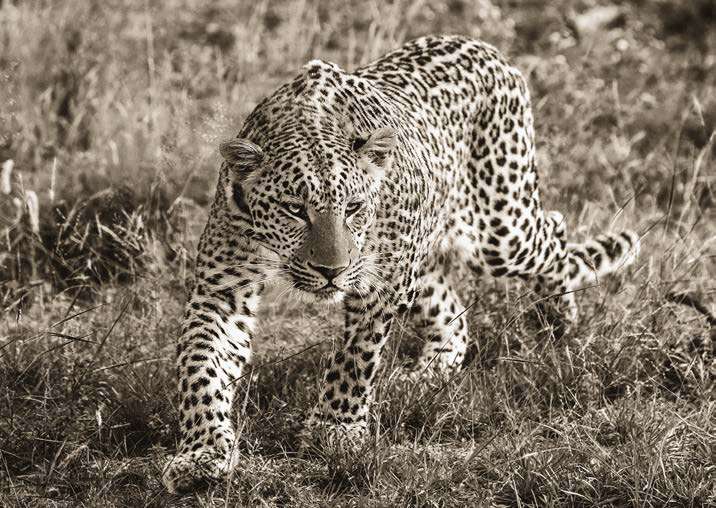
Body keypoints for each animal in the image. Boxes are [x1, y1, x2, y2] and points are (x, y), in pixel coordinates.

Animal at [161, 34, 640, 493]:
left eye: (354, 207)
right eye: (295, 210)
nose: (332, 271)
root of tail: (488, 49)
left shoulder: (383, 284)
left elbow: (355, 359)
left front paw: (334, 428)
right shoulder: (221, 289)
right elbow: (200, 367)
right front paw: (201, 453)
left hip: (500, 229)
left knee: (555, 229)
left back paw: (558, 317)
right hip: (425, 255)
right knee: (454, 318)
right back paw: (424, 376)